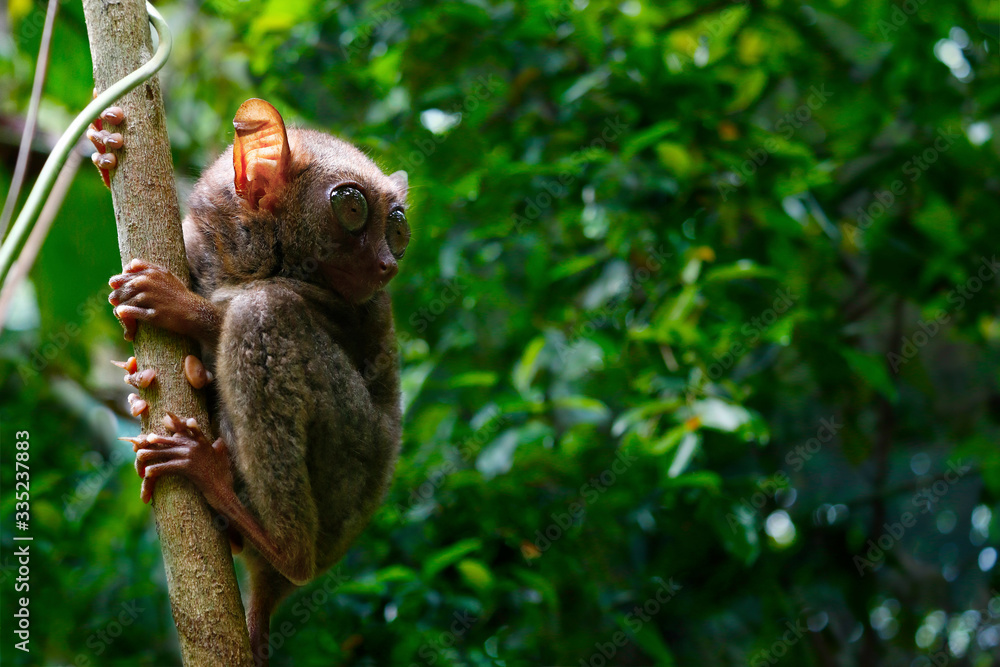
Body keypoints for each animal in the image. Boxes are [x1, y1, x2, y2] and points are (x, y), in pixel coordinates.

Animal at [92, 98, 409, 666]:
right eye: (353, 210)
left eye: (398, 231)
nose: (388, 262)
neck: (252, 253)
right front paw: (107, 150)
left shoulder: (349, 307)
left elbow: (248, 309)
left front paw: (174, 303)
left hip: (348, 464)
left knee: (262, 311)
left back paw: (230, 495)